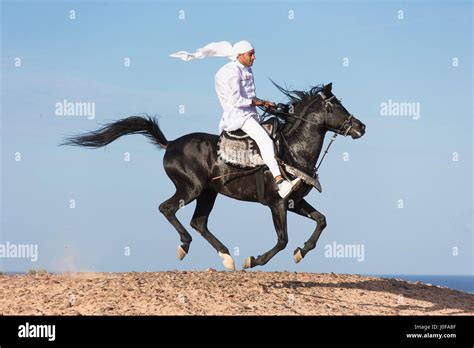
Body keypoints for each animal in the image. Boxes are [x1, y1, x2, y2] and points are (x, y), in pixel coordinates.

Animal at [63, 83, 366, 270]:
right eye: (336, 106)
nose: (361, 127)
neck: (292, 151)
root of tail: (170, 144)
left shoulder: (294, 202)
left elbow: (321, 221)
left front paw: (301, 252)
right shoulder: (277, 203)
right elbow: (282, 240)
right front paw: (253, 260)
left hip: (208, 193)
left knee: (198, 222)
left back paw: (226, 257)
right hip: (191, 189)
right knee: (168, 209)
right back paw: (186, 247)